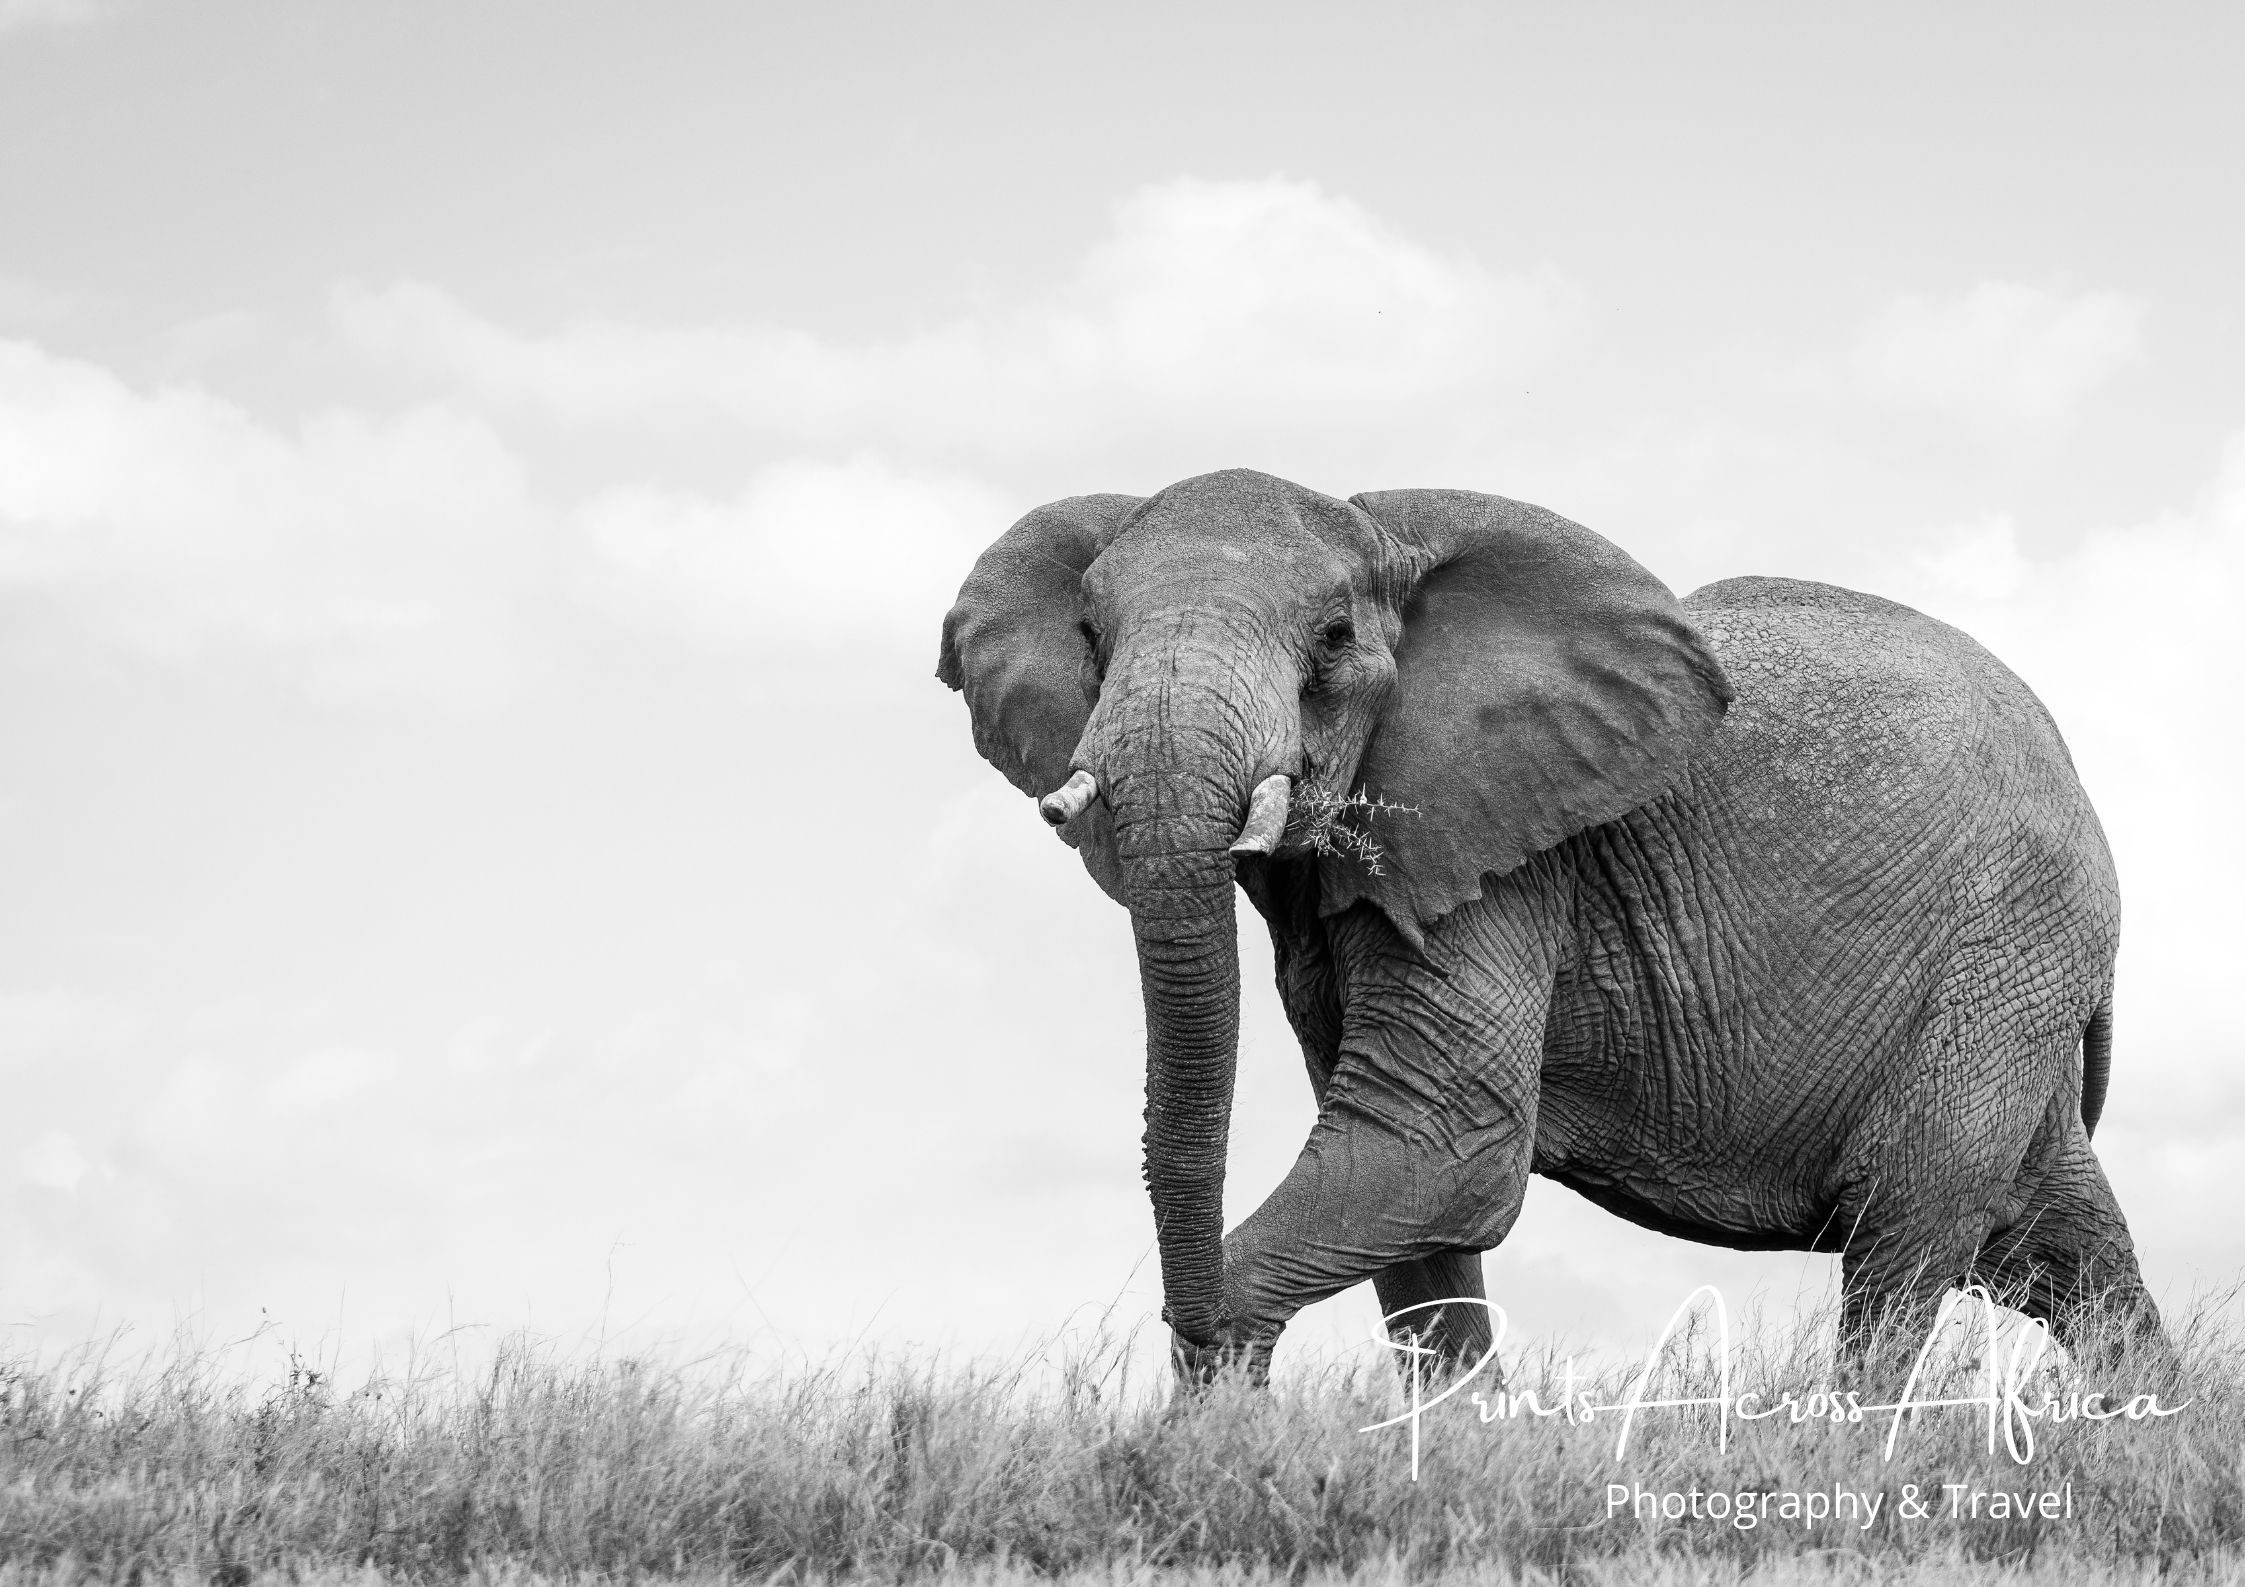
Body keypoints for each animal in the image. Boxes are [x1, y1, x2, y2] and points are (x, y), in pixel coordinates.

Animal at [933, 469, 2173, 1373]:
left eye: (1332, 640)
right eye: (1090, 637)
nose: (1177, 1320)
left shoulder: (1512, 855)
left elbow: (1439, 1144)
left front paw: (1216, 1387)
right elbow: (1407, 1200)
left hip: (2006, 953)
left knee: (1904, 1238)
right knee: (2055, 1251)